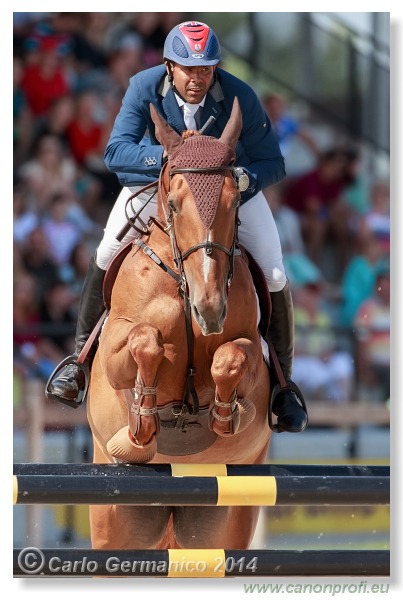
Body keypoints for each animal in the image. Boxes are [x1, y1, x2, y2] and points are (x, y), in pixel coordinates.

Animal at [87, 97, 274, 548]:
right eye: (173, 204)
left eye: (234, 203)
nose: (209, 309)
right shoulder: (117, 350)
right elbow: (146, 340)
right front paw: (140, 425)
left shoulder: (250, 353)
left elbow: (230, 359)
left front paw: (225, 414)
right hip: (115, 521)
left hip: (224, 521)